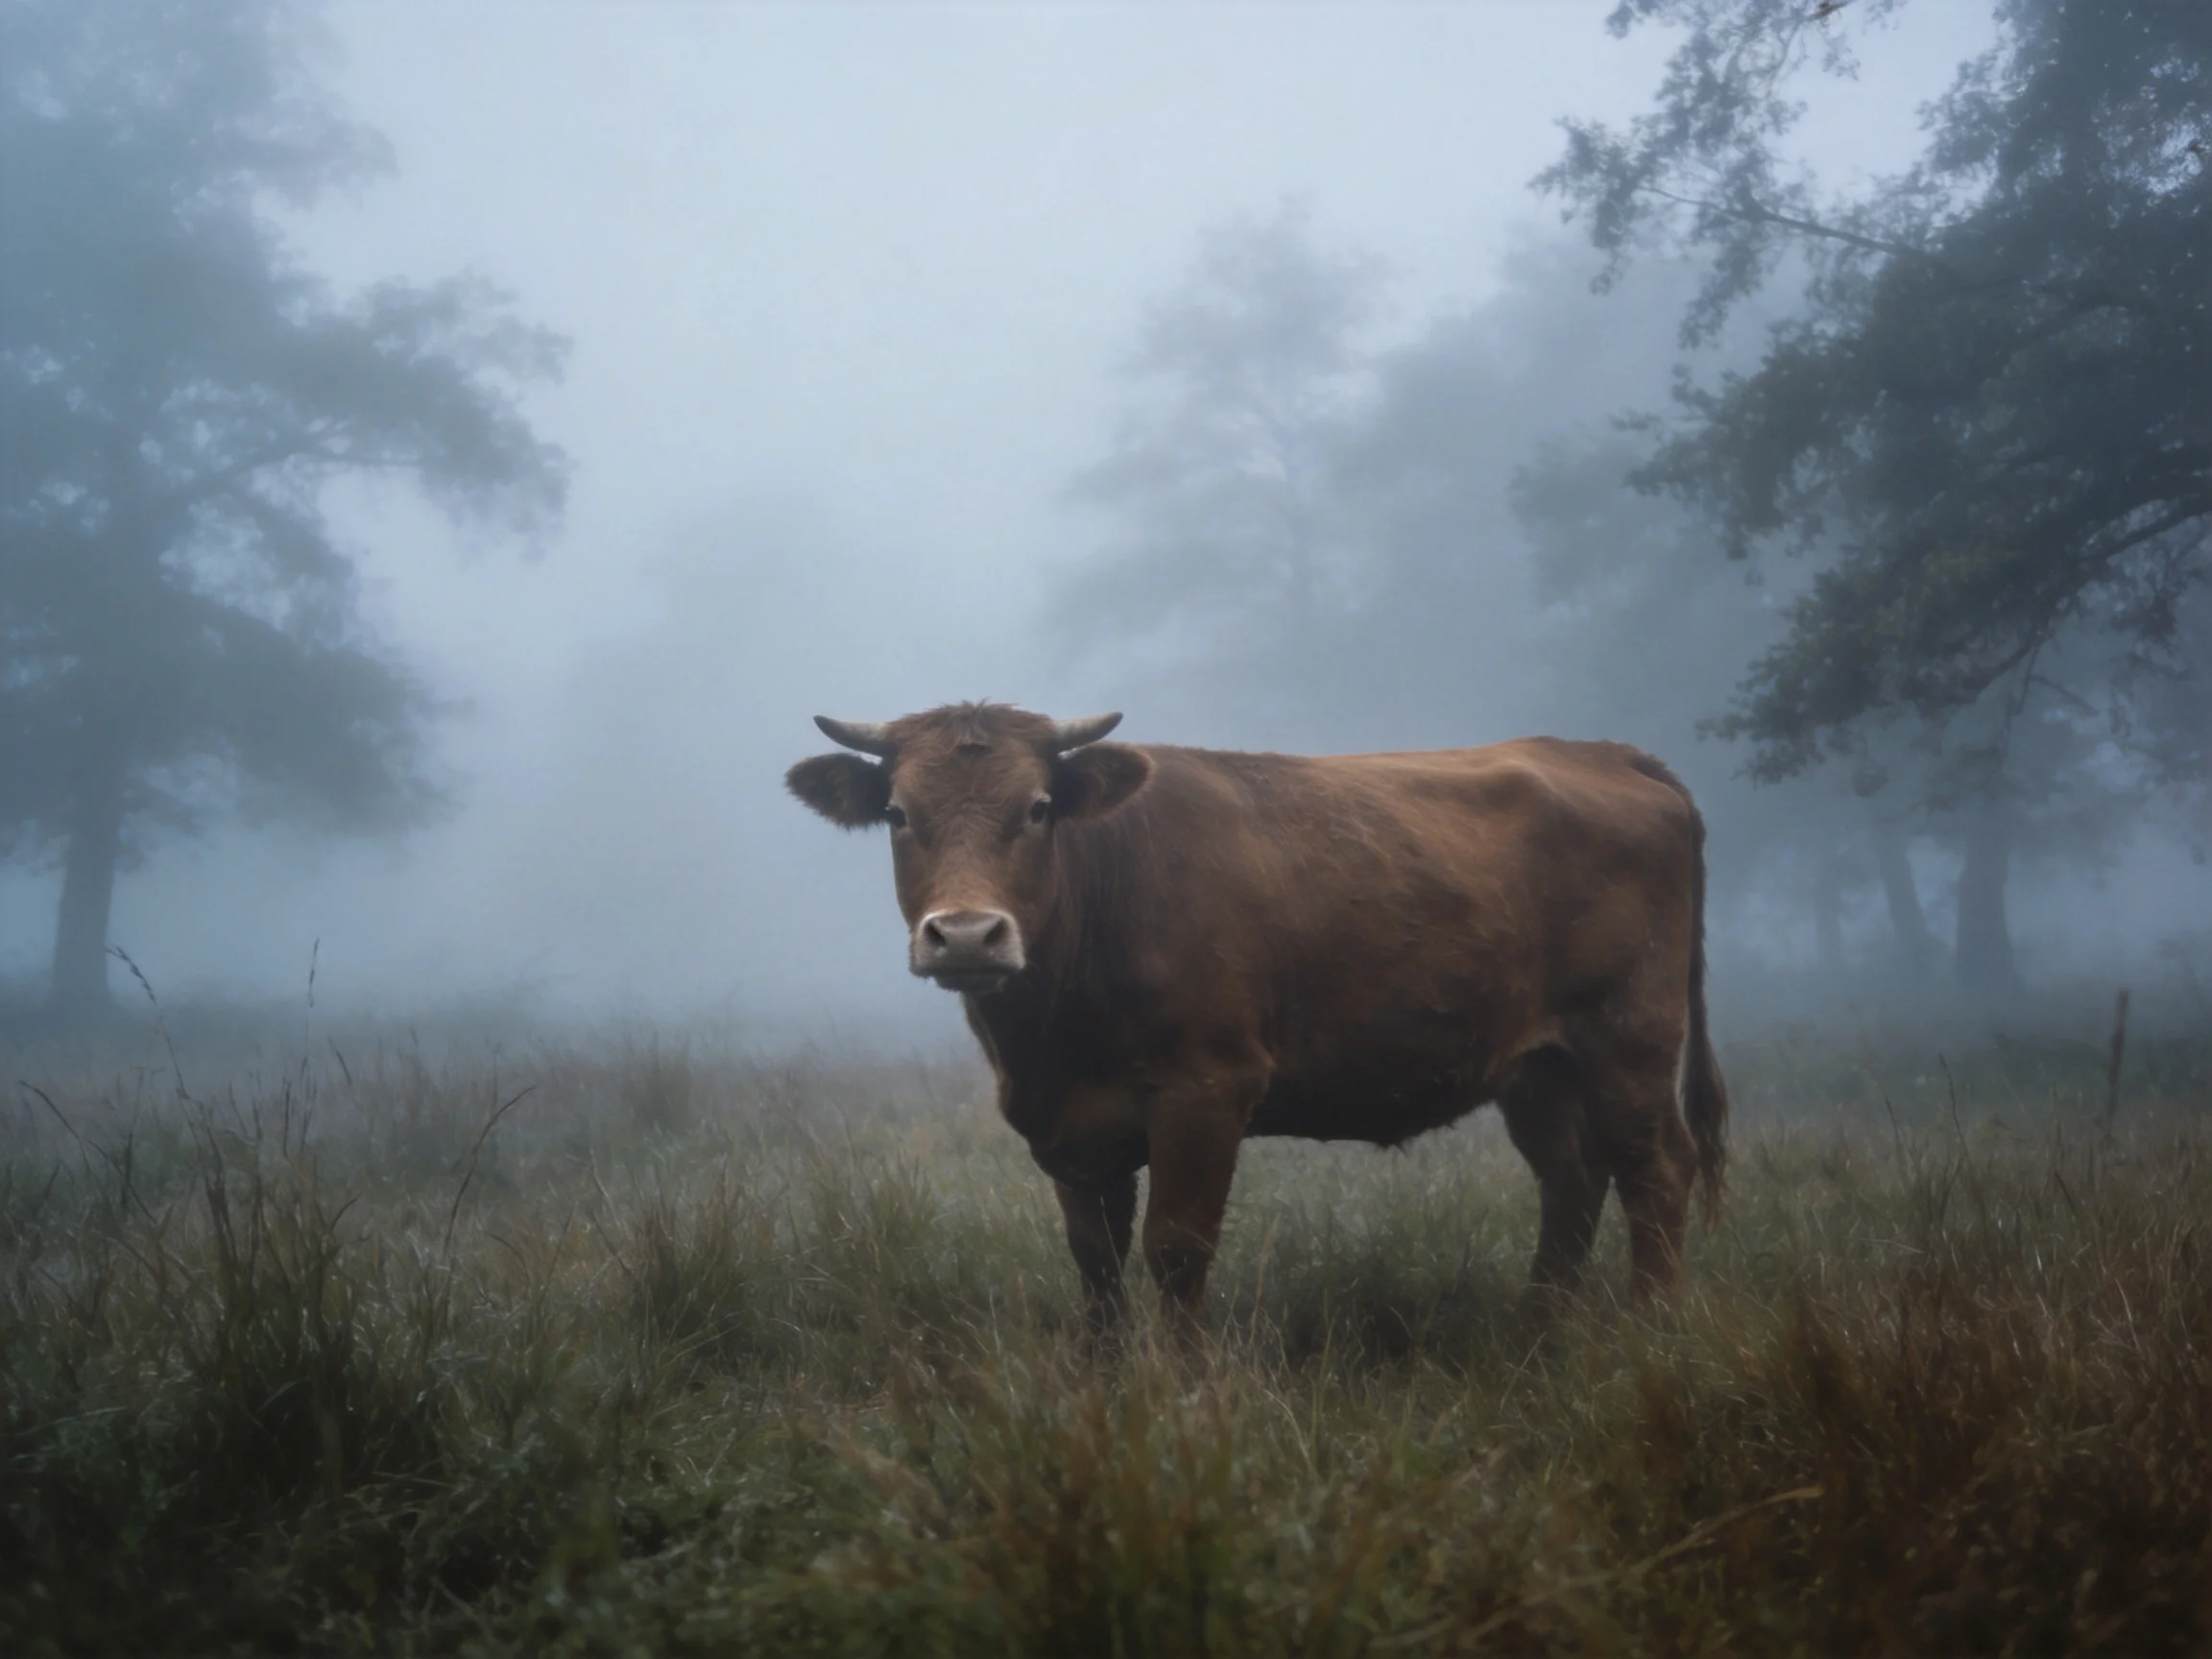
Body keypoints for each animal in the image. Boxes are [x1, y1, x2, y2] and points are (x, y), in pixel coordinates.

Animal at [786, 702, 1727, 1338]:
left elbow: (1176, 1245)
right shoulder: (1071, 1125)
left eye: (1038, 808)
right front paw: (1103, 1376)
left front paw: (1181, 1380)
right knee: (1572, 1178)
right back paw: (1538, 1326)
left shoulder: (1206, 1090)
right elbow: (1095, 1259)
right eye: (899, 814)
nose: (967, 934)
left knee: (1656, 1169)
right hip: (1536, 1065)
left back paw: (1653, 1324)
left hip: (1629, 1040)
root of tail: (1607, 754)